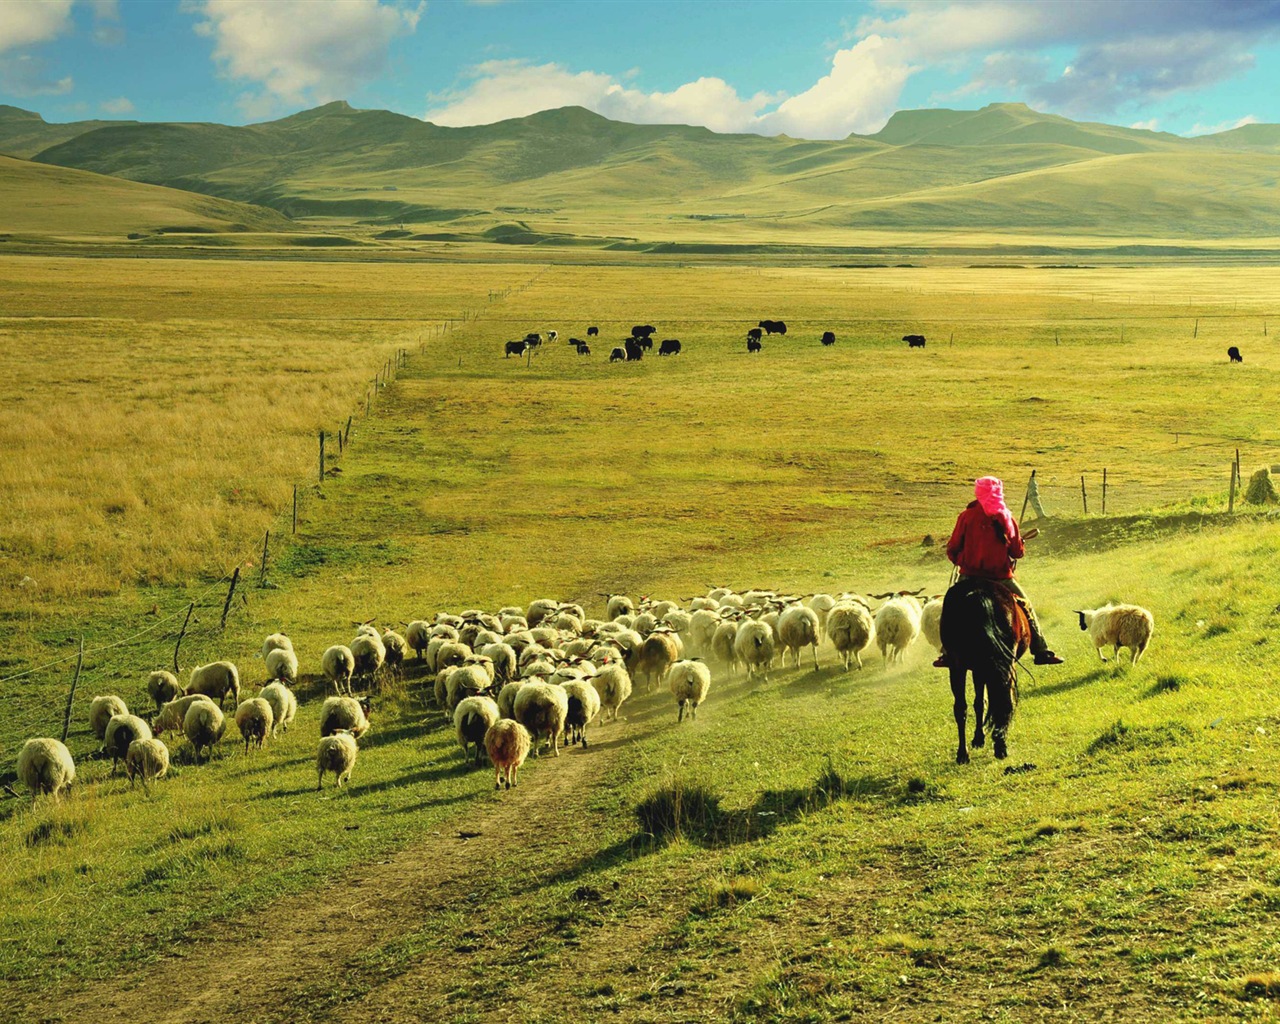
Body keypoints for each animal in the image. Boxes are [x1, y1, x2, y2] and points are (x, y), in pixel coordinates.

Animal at [936, 576, 1034, 757]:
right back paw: (1000, 745)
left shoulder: (978, 669)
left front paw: (978, 738)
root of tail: (979, 594)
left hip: (958, 665)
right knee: (1004, 699)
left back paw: (963, 754)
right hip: (1002, 663)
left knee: (961, 707)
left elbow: (979, 702)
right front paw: (981, 738)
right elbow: (984, 701)